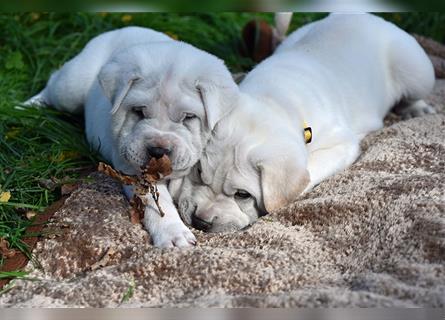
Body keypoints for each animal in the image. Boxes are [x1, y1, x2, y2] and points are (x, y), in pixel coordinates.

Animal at [175, 13, 436, 232]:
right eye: (199, 173)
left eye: (242, 195)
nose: (200, 222)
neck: (273, 101)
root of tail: (357, 13)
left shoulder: (342, 144)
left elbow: (309, 171)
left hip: (417, 71)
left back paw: (417, 108)